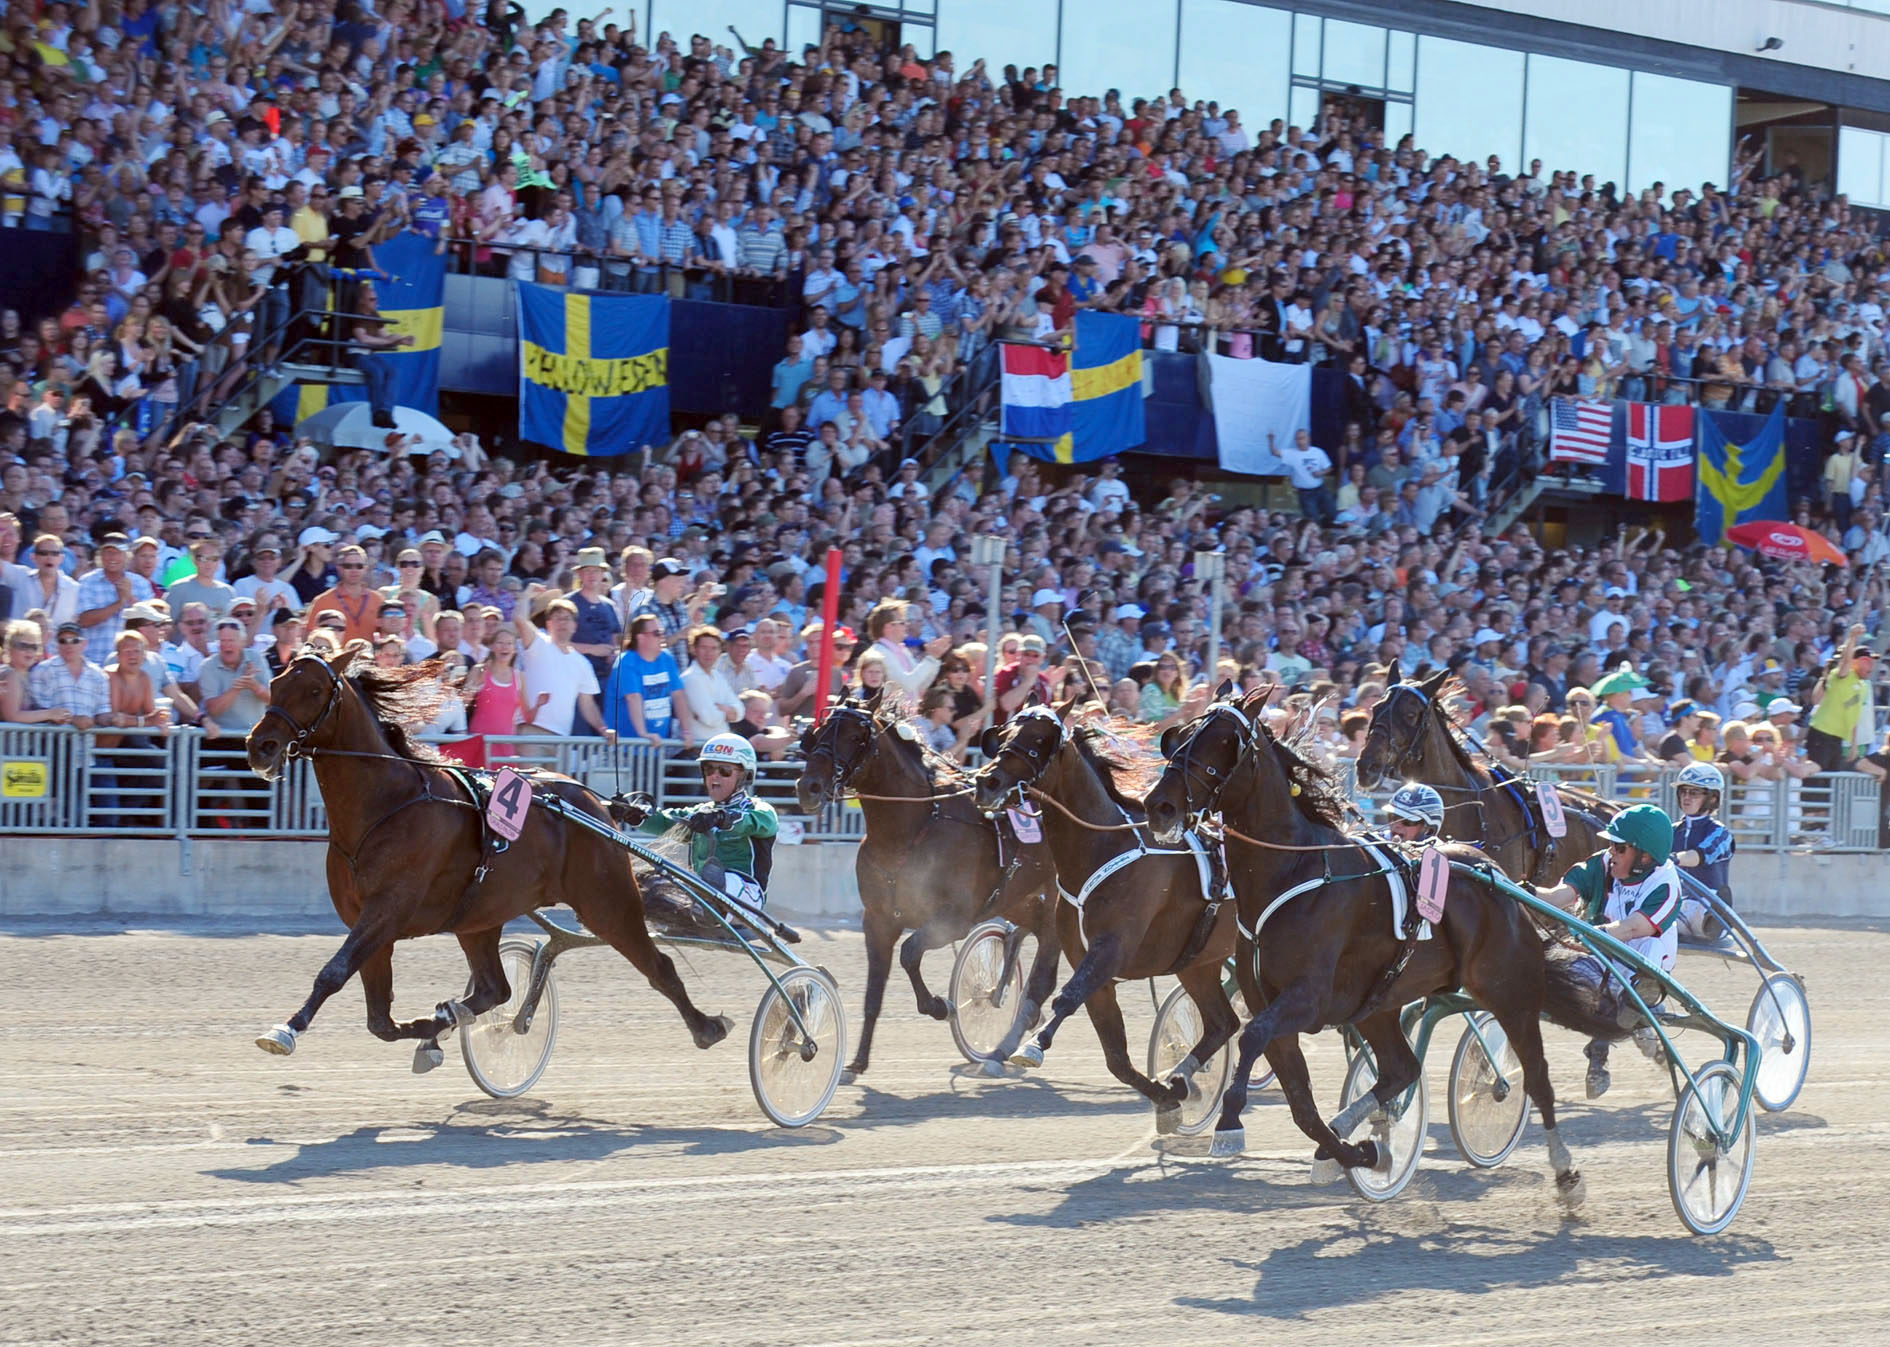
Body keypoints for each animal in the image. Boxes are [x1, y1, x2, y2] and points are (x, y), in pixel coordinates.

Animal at [243, 649, 729, 1073]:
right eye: (275, 682)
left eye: (313, 690)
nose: (259, 746)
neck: (387, 804)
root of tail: (595, 803)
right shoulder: (368, 920)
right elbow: (380, 1020)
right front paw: (433, 1030)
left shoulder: (387, 909)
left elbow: (334, 972)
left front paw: (285, 1030)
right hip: (479, 917)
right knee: (496, 988)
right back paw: (448, 1020)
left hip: (607, 903)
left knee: (659, 966)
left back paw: (707, 1027)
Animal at [793, 695, 1065, 1080]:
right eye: (818, 733)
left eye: (856, 736)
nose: (809, 787)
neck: (911, 831)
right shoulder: (877, 921)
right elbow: (873, 994)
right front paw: (857, 1062)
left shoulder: (953, 920)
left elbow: (909, 953)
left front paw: (940, 1006)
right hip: (1018, 900)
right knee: (1030, 937)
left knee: (1046, 966)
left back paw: (1005, 1048)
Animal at [967, 710, 1247, 1125]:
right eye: (1002, 736)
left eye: (1037, 741)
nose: (986, 782)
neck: (1103, 848)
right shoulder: (1093, 966)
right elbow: (1116, 1057)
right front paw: (1168, 1098)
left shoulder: (1111, 950)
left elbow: (1067, 998)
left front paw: (1033, 1045)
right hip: (1198, 964)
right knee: (1223, 1023)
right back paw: (1183, 1077)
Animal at [1141, 695, 1617, 1201]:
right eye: (1180, 735)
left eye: (1222, 741)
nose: (1158, 805)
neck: (1293, 872)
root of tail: (1499, 880)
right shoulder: (1273, 1002)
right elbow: (1300, 1102)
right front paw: (1358, 1153)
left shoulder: (1307, 999)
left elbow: (1251, 1037)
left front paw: (1229, 1120)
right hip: (1379, 1005)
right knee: (1400, 1070)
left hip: (1510, 993)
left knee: (1536, 1077)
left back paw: (1566, 1172)